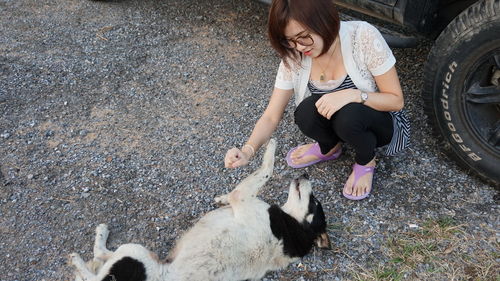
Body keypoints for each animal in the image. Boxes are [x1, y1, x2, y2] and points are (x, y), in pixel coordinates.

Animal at [68, 139, 330, 278]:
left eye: (315, 203)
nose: (306, 175)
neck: (292, 227)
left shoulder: (243, 197)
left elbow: (266, 169)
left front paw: (271, 145)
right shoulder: (242, 198)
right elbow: (235, 192)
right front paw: (221, 199)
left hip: (133, 254)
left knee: (93, 269)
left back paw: (81, 255)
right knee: (100, 259)